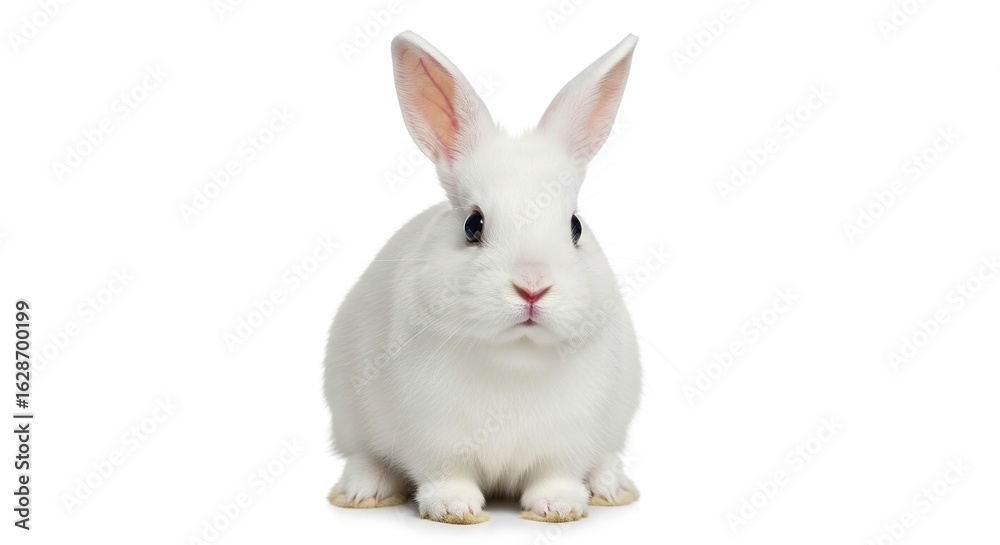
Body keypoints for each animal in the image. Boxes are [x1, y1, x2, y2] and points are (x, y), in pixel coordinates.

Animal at [324, 30, 641, 524]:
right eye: (473, 224)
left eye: (575, 226)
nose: (532, 286)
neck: (515, 355)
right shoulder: (433, 436)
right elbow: (445, 474)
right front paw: (453, 509)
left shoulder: (569, 439)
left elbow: (556, 474)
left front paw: (558, 507)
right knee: (363, 453)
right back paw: (365, 490)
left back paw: (610, 485)